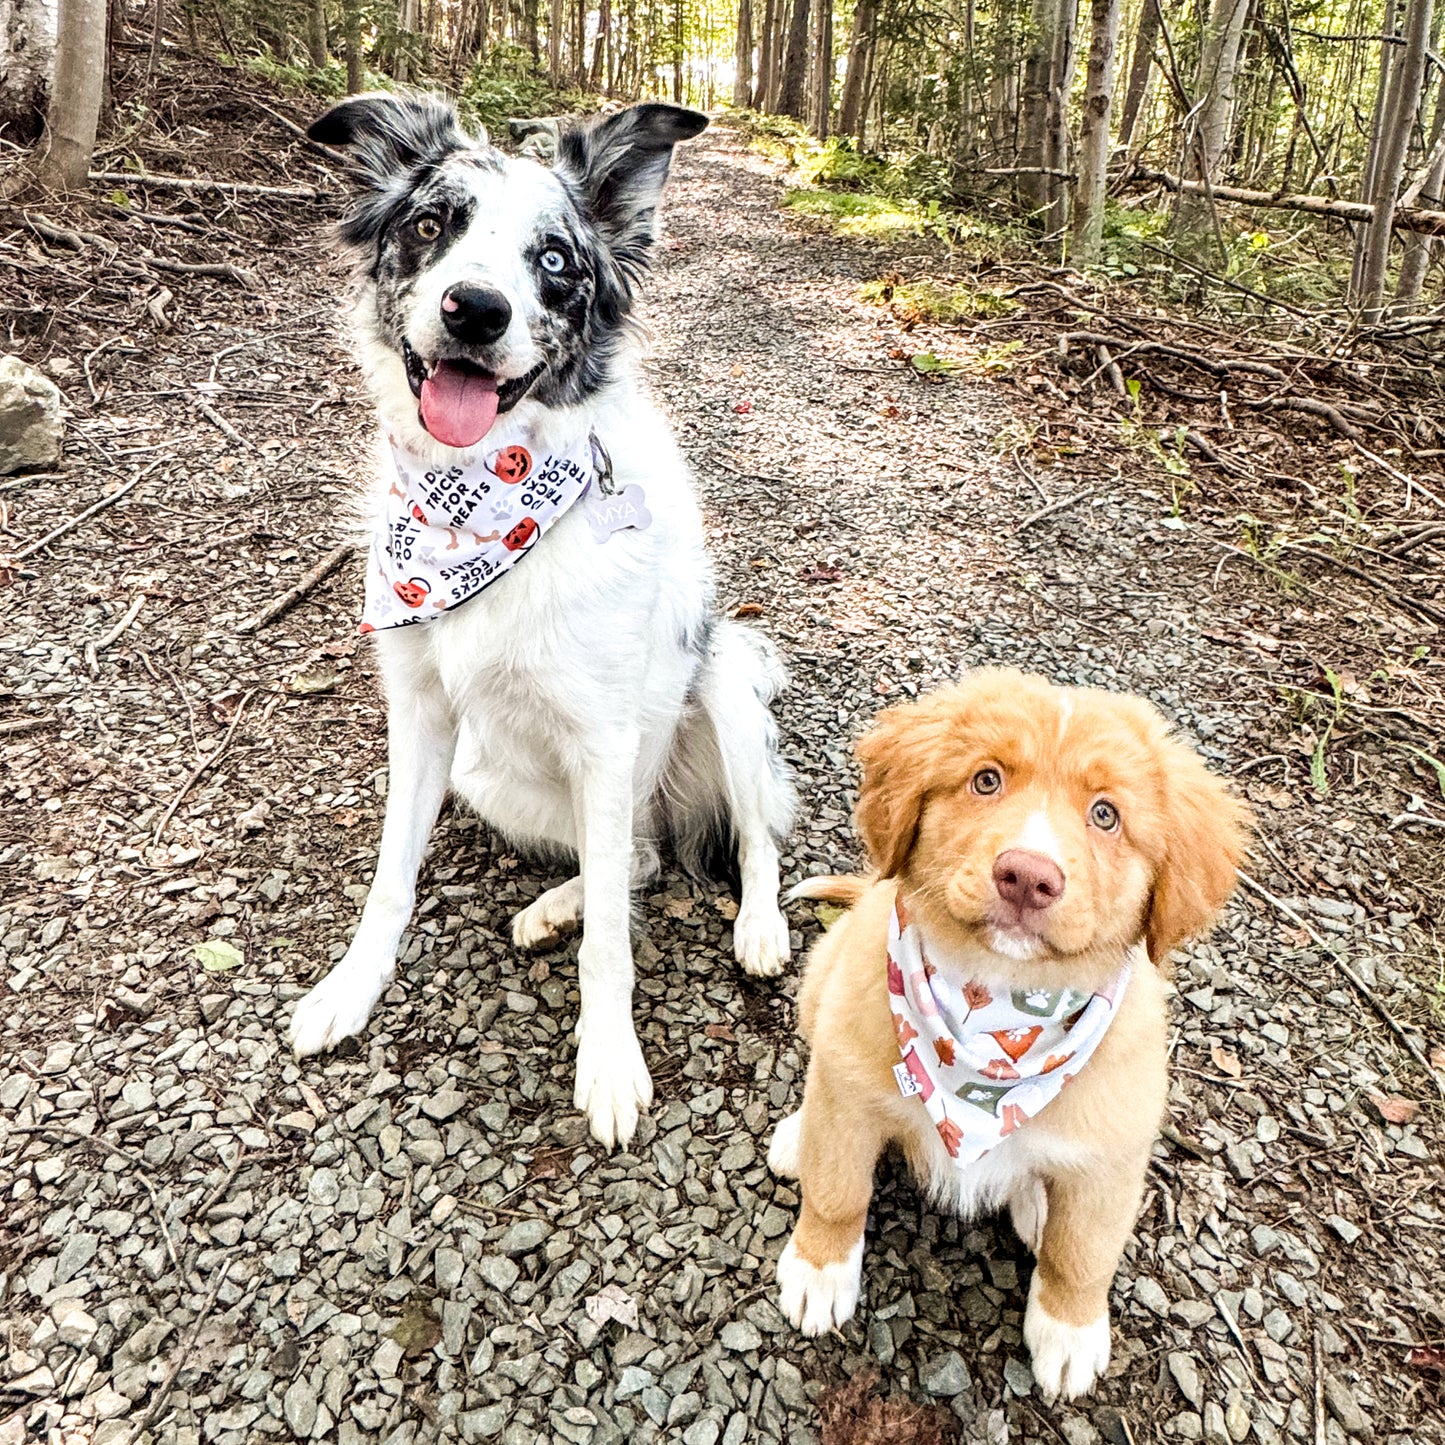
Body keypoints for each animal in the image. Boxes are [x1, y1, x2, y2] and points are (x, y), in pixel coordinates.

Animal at [286, 96, 797, 1144]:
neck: (479, 504)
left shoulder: (602, 738)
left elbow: (613, 944)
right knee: (636, 857)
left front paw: (608, 1062)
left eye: (554, 258)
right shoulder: (422, 719)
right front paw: (350, 988)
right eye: (431, 224)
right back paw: (551, 905)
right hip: (488, 774)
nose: (475, 309)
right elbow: (390, 878)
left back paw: (758, 925)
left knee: (742, 839)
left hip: (722, 676)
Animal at [768, 673, 1254, 1398]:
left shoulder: (1115, 1154)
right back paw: (797, 1135)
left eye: (1105, 814)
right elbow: (836, 1190)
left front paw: (1070, 1331)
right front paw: (820, 1268)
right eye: (986, 779)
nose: (1027, 876)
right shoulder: (851, 1086)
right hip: (822, 981)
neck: (996, 999)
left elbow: (1082, 1255)